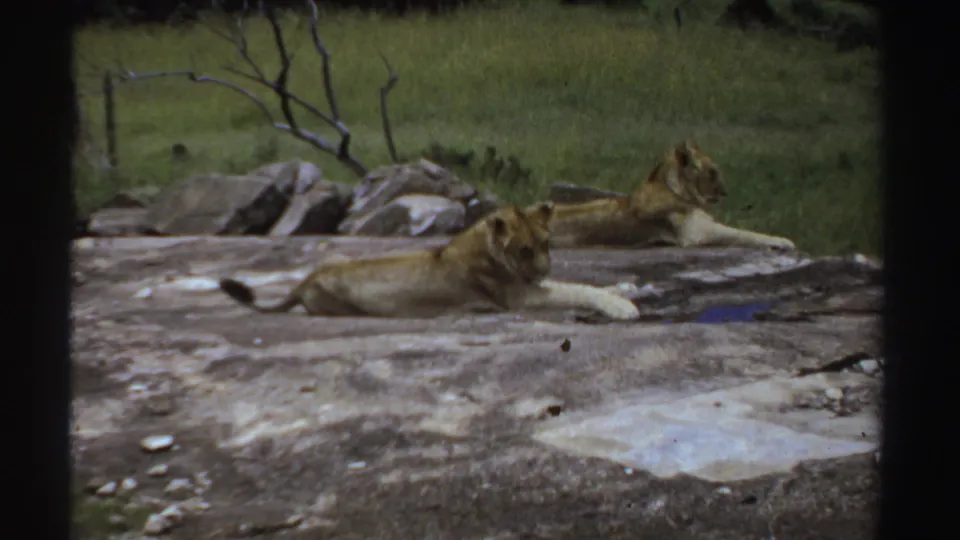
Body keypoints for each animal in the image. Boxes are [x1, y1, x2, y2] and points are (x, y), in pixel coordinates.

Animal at [217, 202, 640, 321]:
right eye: (523, 250)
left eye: (545, 244)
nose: (543, 268)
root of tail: (304, 280)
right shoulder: (516, 297)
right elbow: (576, 288)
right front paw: (623, 307)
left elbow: (584, 283)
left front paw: (627, 287)